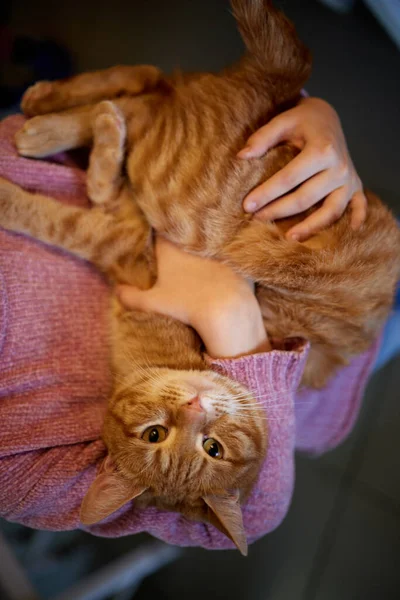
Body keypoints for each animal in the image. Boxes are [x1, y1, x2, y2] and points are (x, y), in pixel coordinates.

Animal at [0, 1, 398, 552]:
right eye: (155, 434)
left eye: (213, 447)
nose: (194, 406)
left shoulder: (129, 248)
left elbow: (64, 211)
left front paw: (9, 195)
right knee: (147, 83)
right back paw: (46, 104)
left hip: (173, 189)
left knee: (142, 99)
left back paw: (45, 121)